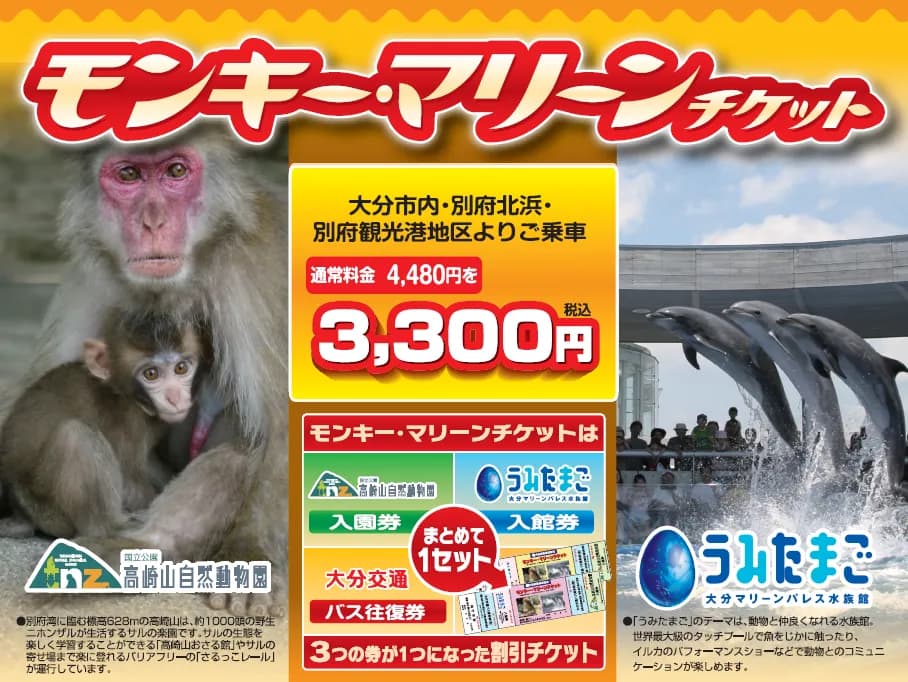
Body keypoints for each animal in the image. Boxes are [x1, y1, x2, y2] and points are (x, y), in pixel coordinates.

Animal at [0, 310, 203, 540]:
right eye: (151, 374)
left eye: (181, 368)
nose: (175, 397)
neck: (128, 396)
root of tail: (21, 512)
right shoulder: (128, 422)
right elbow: (131, 486)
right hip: (45, 510)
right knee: (76, 435)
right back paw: (110, 528)